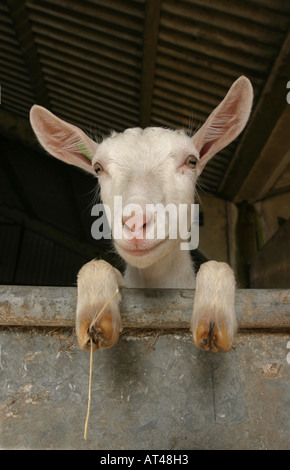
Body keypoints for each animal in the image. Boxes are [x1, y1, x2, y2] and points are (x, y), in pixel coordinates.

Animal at [28, 76, 251, 352]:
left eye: (191, 161)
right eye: (98, 168)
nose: (135, 222)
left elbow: (217, 266)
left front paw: (213, 320)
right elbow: (95, 267)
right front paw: (96, 316)